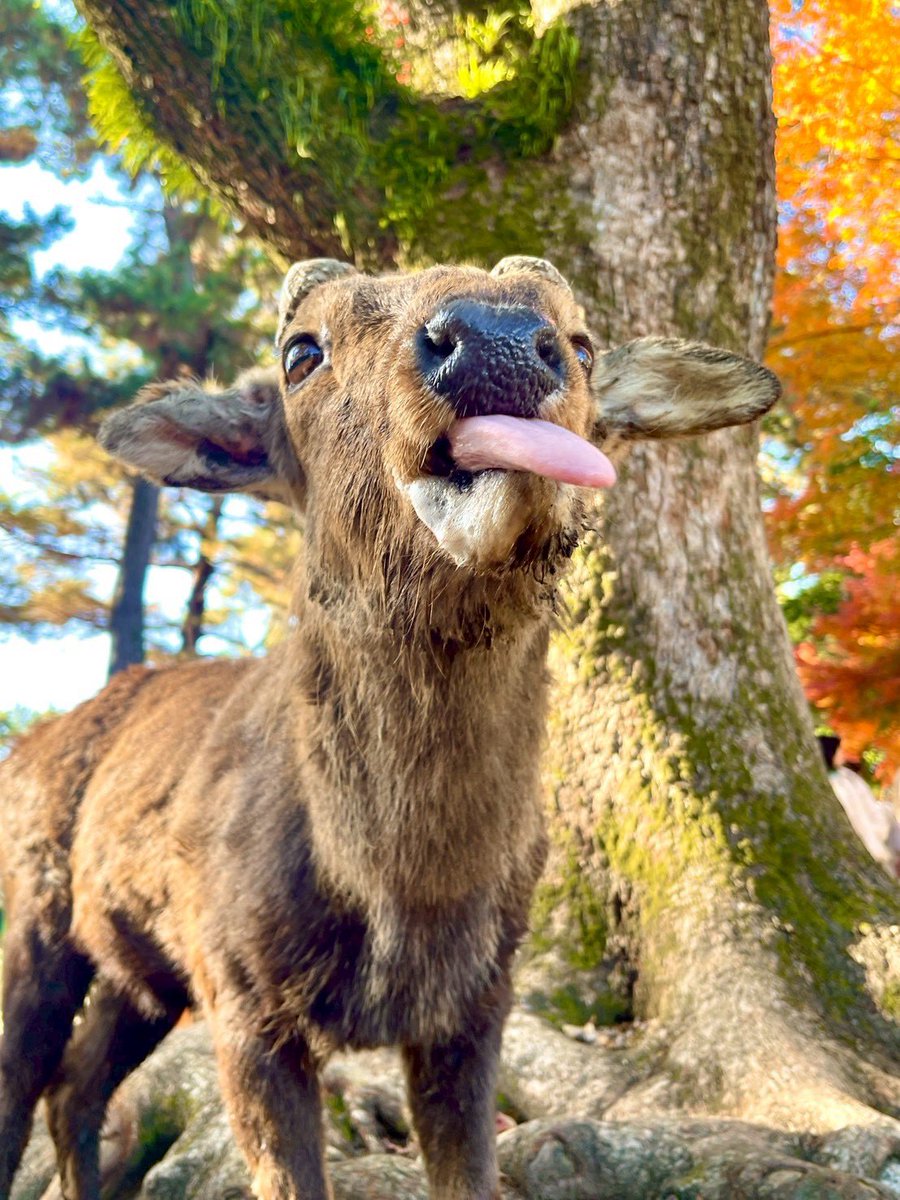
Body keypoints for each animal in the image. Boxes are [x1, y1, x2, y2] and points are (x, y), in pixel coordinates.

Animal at [0, 255, 779, 1200]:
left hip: (143, 967)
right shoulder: (244, 997)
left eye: (586, 342)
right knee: (22, 1079)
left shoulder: (480, 1002)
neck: (406, 892)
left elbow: (470, 1174)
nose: (496, 338)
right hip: (36, 911)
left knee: (77, 1084)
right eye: (301, 352)